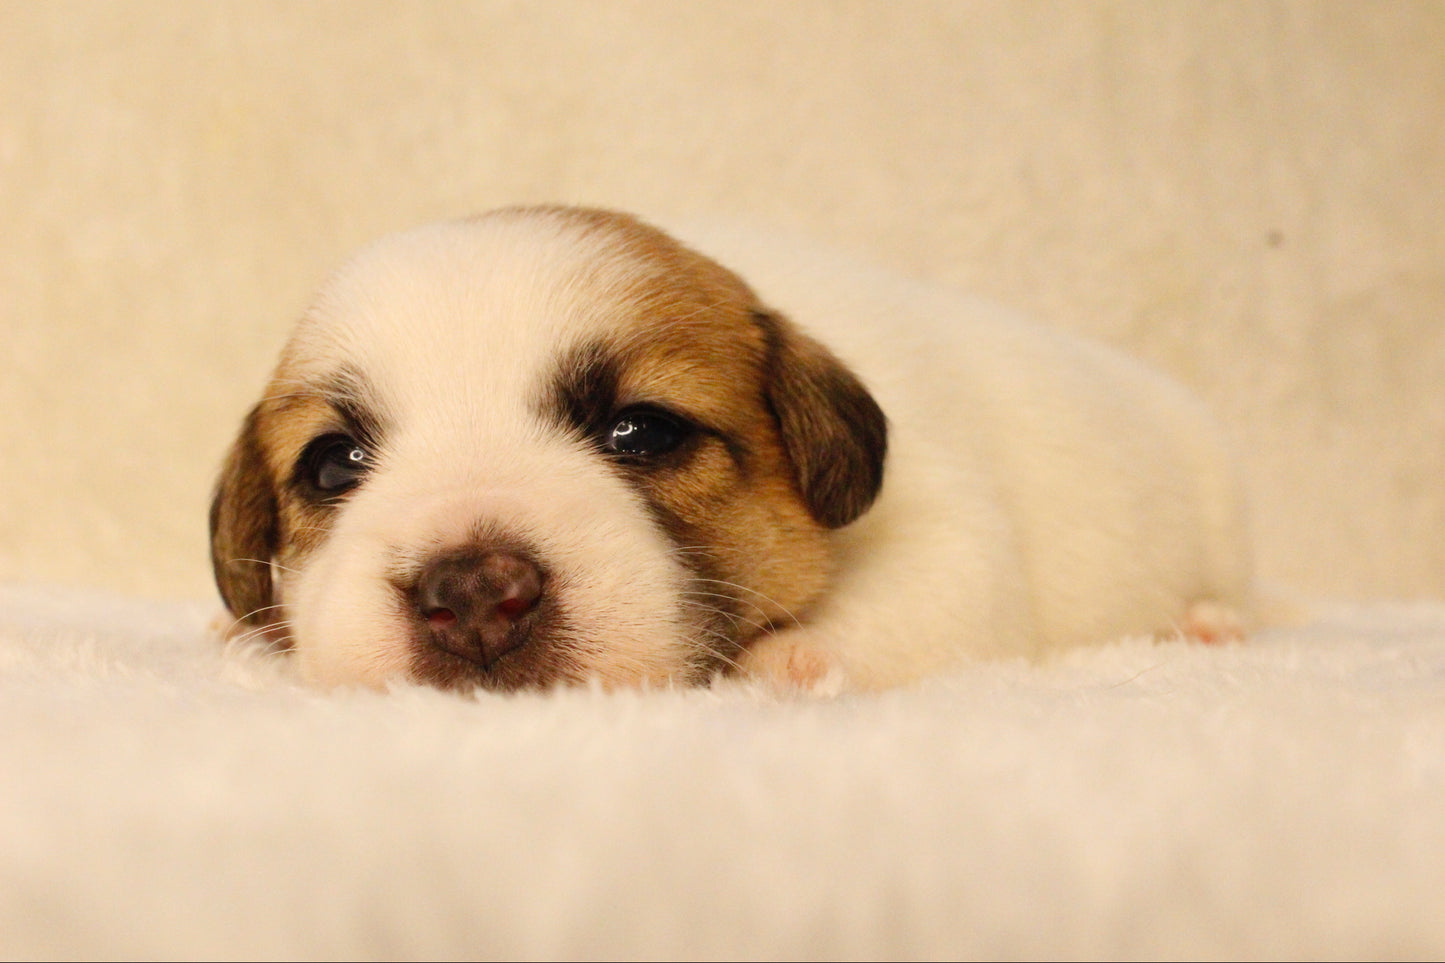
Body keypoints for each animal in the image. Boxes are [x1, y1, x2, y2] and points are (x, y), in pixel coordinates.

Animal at [206, 208, 1254, 691]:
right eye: (333, 463)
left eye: (641, 431)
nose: (469, 593)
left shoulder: (947, 540)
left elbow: (902, 605)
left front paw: (788, 659)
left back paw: (1209, 623)